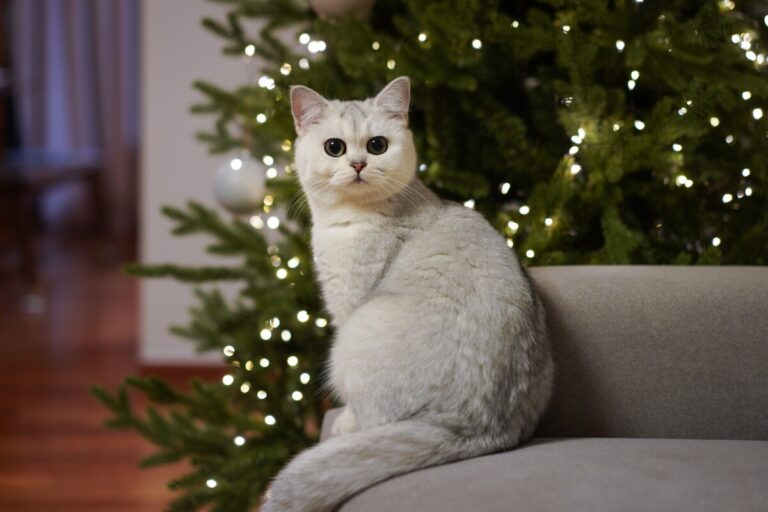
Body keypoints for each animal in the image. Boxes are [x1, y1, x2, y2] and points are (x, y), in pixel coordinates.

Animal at [262, 77, 552, 512]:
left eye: (377, 145)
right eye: (335, 147)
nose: (358, 165)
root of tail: (477, 423)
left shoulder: (347, 305)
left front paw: (342, 421)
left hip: (350, 342)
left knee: (371, 420)